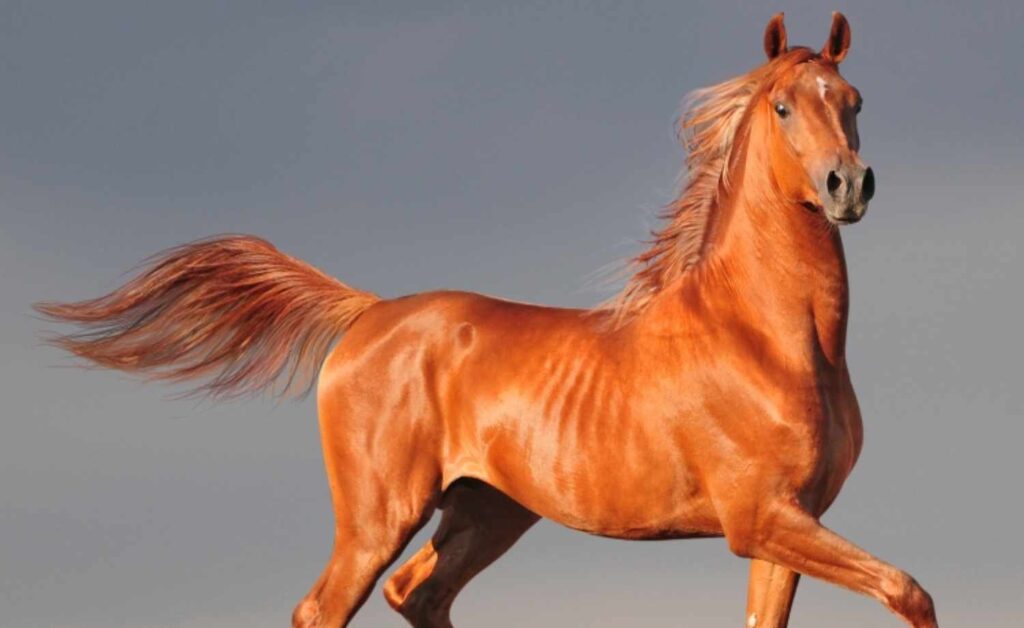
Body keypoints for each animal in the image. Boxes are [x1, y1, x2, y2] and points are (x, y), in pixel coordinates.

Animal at [36, 12, 937, 628]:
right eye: (784, 107)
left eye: (853, 100)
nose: (847, 184)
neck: (768, 340)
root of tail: (369, 316)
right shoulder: (760, 520)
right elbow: (909, 589)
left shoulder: (787, 525)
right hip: (380, 516)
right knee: (327, 608)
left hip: (484, 510)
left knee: (418, 594)